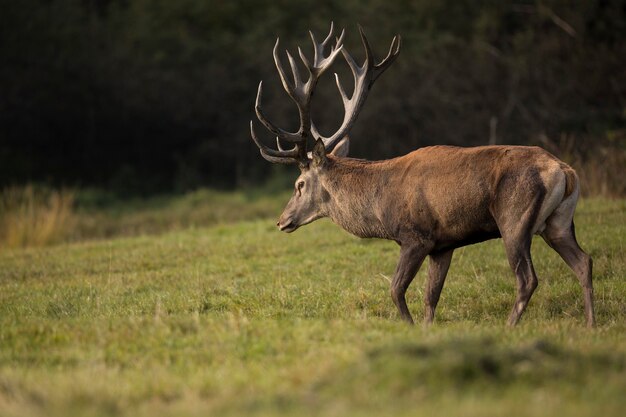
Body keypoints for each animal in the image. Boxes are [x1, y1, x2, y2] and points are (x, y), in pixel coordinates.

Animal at [249, 24, 596, 326]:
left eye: (299, 184)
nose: (282, 220)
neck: (378, 205)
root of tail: (564, 171)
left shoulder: (417, 235)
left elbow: (395, 290)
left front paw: (410, 327)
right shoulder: (444, 244)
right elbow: (432, 296)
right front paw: (428, 328)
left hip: (514, 219)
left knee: (527, 279)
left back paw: (510, 327)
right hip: (558, 223)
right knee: (584, 262)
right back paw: (591, 325)